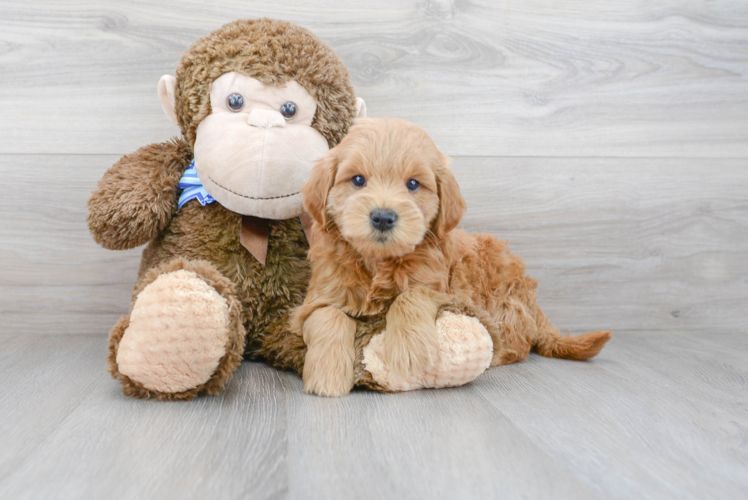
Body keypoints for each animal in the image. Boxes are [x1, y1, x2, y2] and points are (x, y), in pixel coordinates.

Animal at [290, 118, 608, 398]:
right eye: (357, 180)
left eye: (413, 184)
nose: (382, 217)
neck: (379, 261)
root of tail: (534, 305)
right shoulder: (319, 296)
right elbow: (327, 316)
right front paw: (327, 375)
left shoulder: (447, 291)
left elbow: (411, 295)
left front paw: (409, 349)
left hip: (505, 305)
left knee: (517, 344)